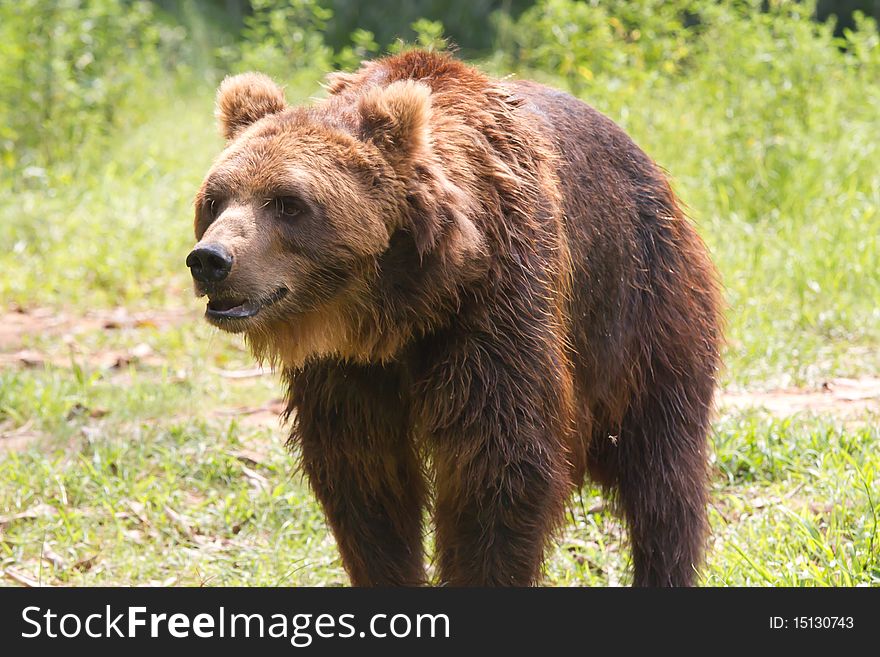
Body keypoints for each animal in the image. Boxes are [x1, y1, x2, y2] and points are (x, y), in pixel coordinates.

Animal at [187, 48, 720, 588]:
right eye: (215, 199)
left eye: (288, 203)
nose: (211, 260)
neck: (397, 310)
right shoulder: (347, 368)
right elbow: (364, 477)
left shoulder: (495, 306)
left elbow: (500, 467)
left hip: (644, 308)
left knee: (662, 470)